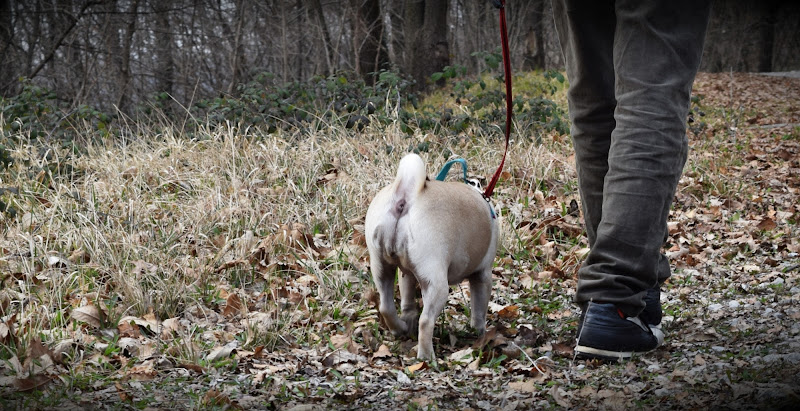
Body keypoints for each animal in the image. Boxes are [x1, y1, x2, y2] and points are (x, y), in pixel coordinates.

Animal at [364, 153, 500, 358]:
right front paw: (478, 332)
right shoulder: (482, 275)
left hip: (381, 268)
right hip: (437, 284)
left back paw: (400, 328)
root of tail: (406, 195)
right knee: (426, 321)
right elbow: (479, 309)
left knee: (386, 306)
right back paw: (427, 357)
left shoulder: (407, 273)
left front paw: (408, 317)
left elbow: (407, 297)